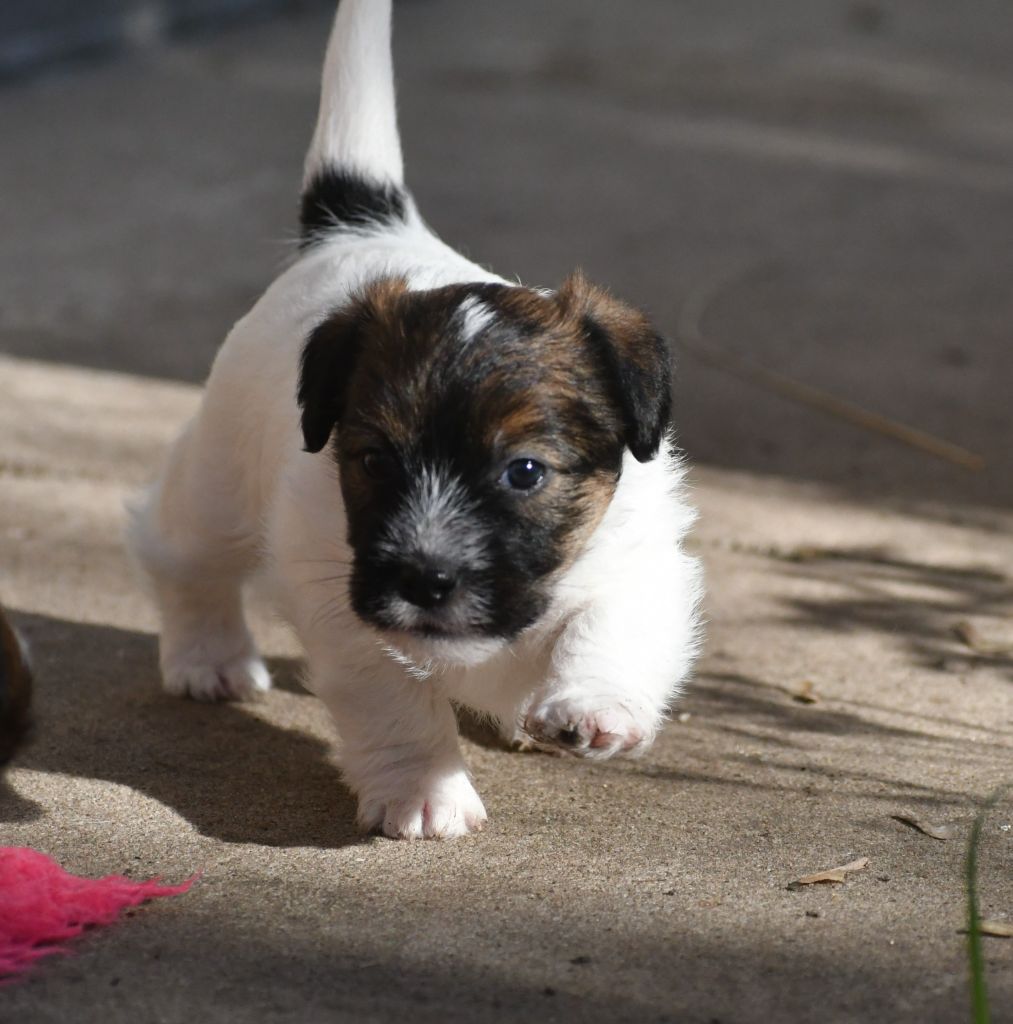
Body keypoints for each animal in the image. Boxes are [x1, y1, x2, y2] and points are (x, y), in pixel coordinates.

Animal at [128, 0, 704, 839]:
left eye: (523, 472)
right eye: (374, 461)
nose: (425, 579)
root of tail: (365, 229)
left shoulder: (639, 559)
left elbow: (609, 622)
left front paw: (592, 706)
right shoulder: (349, 615)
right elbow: (395, 706)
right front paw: (422, 794)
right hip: (220, 484)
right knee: (182, 555)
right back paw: (209, 658)